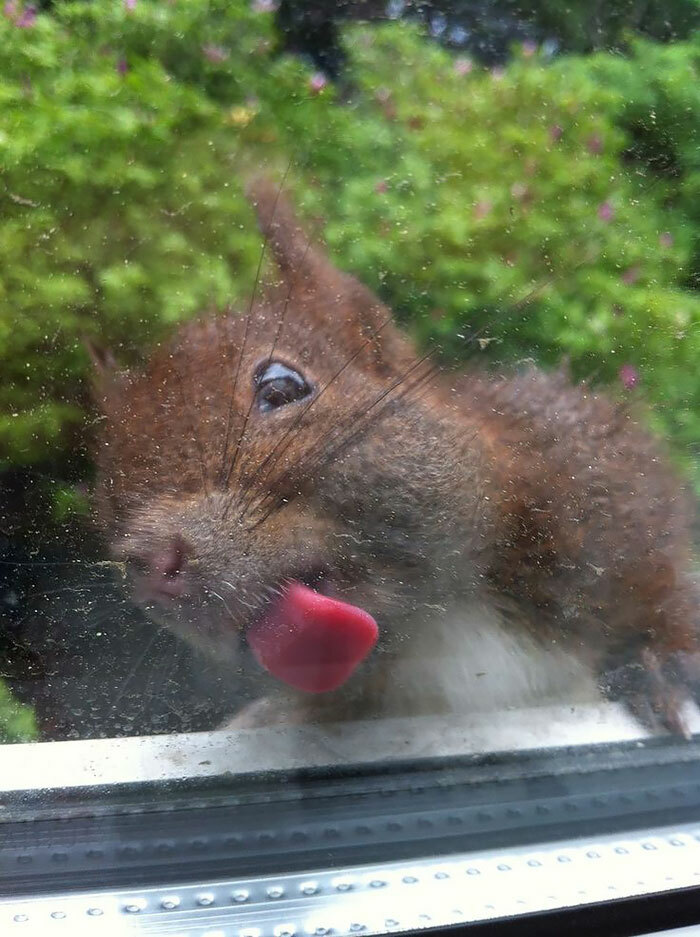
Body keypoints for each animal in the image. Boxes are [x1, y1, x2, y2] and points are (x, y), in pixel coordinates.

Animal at [90, 179, 700, 740]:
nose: (150, 564)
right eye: (105, 505)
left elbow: (666, 579)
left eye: (281, 387)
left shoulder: (601, 488)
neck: (435, 621)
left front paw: (667, 665)